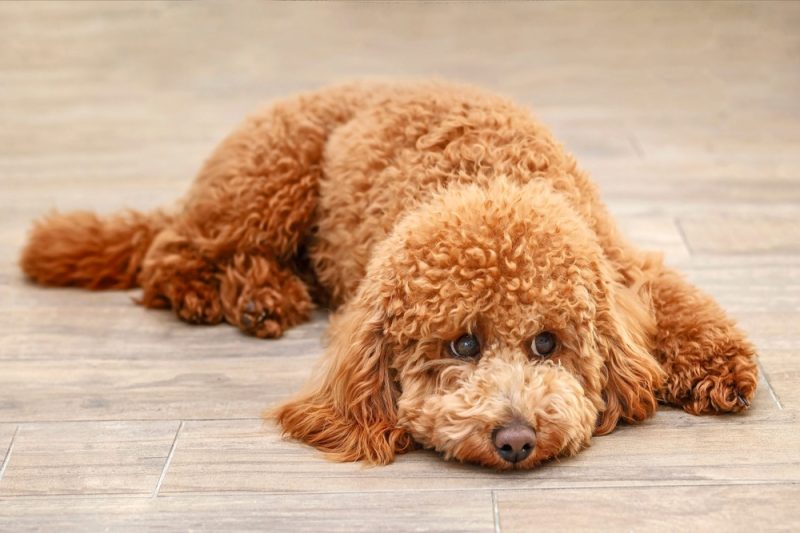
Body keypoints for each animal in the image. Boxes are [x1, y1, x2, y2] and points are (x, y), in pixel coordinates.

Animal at [17, 81, 756, 468]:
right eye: (463, 343)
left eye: (547, 343)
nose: (515, 438)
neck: (486, 178)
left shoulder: (622, 267)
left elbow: (680, 306)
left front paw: (720, 367)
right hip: (268, 181)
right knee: (171, 253)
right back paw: (241, 295)